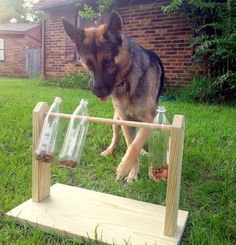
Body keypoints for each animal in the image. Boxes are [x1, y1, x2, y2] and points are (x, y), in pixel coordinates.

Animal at [62, 11, 164, 182]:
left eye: (108, 62)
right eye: (89, 64)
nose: (99, 92)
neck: (127, 80)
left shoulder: (149, 119)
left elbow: (135, 145)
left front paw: (124, 168)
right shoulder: (125, 121)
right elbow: (130, 144)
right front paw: (132, 171)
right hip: (117, 120)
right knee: (116, 138)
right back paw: (109, 150)